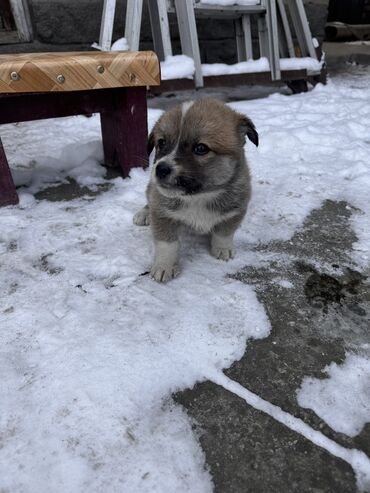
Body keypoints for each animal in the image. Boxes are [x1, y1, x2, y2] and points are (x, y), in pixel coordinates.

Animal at [133, 98, 258, 282]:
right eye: (161, 142)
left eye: (201, 148)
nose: (160, 169)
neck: (199, 197)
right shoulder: (162, 213)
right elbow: (167, 244)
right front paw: (164, 267)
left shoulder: (236, 210)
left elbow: (224, 233)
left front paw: (222, 250)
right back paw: (143, 214)